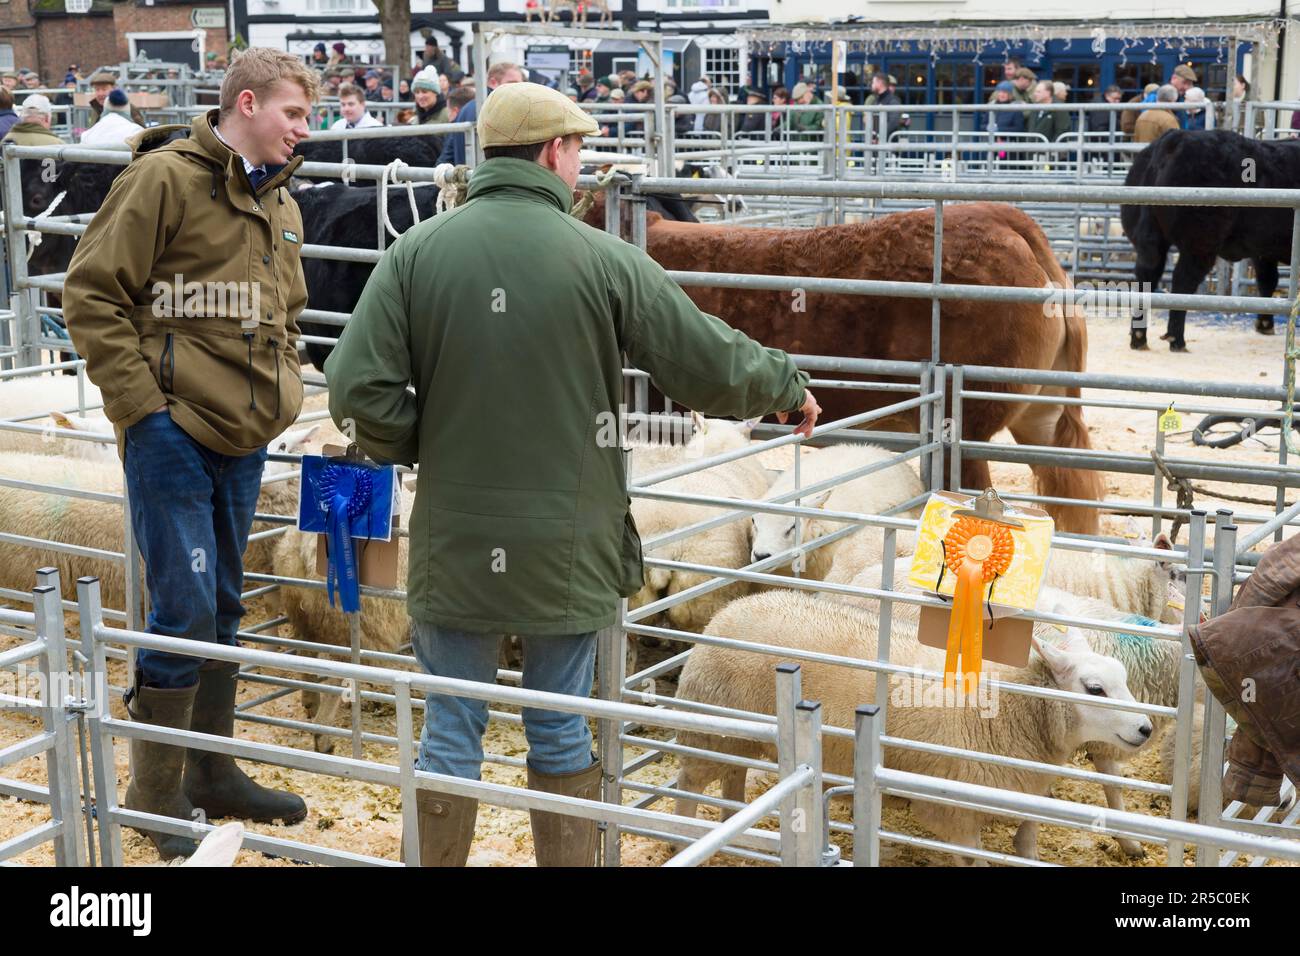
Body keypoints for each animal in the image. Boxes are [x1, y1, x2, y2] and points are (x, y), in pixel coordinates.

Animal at [670, 587, 1149, 863]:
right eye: (1094, 689)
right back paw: (682, 840)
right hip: (708, 724)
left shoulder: (1024, 789)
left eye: (1123, 678)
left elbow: (1027, 844)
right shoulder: (953, 808)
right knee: (690, 782)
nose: (1145, 728)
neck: (1012, 707)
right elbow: (972, 857)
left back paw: (733, 827)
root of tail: (731, 608)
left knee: (733, 775)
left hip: (737, 733)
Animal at [1118, 128, 1300, 348]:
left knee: (1147, 276)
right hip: (1200, 245)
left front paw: (1264, 324)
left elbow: (1267, 280)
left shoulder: (1263, 250)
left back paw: (1138, 338)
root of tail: (1176, 137)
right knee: (1182, 282)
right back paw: (1177, 339)